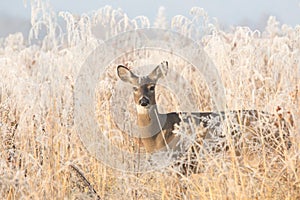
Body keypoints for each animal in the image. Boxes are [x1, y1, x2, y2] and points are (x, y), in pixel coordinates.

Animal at [117, 61, 292, 169]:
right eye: (134, 88)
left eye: (152, 87)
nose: (143, 101)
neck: (157, 135)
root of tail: (283, 122)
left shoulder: (182, 160)